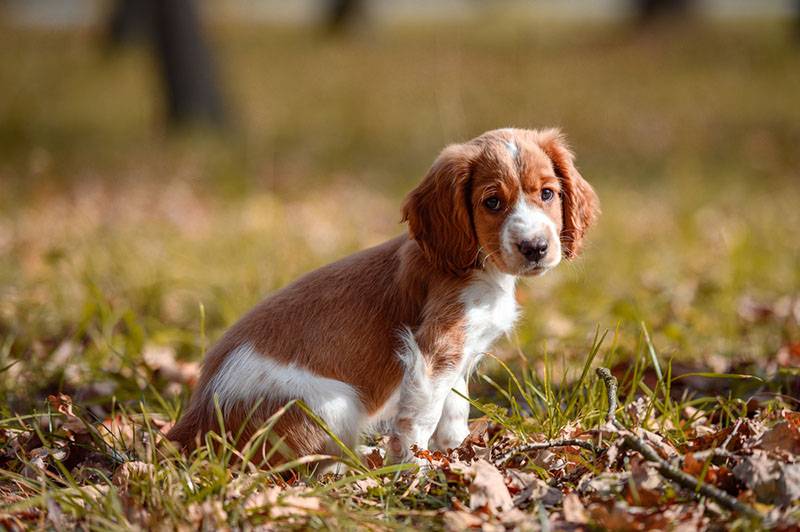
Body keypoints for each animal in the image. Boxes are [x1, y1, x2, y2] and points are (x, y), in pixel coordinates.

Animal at [166, 129, 596, 470]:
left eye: (547, 194)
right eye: (492, 202)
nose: (535, 248)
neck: (481, 268)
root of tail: (192, 424)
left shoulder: (459, 355)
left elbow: (455, 407)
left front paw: (457, 454)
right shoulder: (434, 349)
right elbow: (421, 417)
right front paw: (416, 469)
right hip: (334, 404)